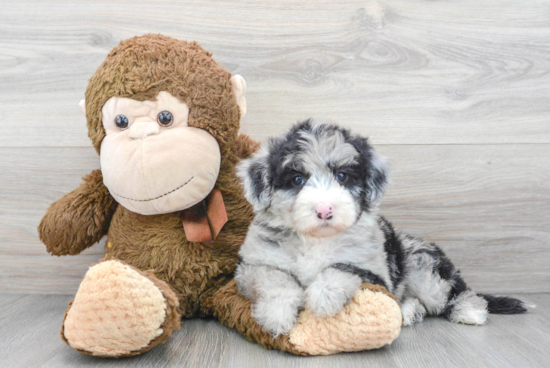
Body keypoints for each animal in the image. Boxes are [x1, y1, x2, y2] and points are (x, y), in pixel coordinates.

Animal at [235, 120, 528, 336]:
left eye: (343, 176)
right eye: (297, 179)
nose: (325, 210)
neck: (316, 240)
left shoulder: (373, 272)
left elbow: (340, 267)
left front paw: (322, 297)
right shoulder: (252, 266)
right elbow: (276, 280)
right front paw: (276, 315)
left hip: (424, 270)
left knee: (458, 292)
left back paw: (470, 311)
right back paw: (409, 312)